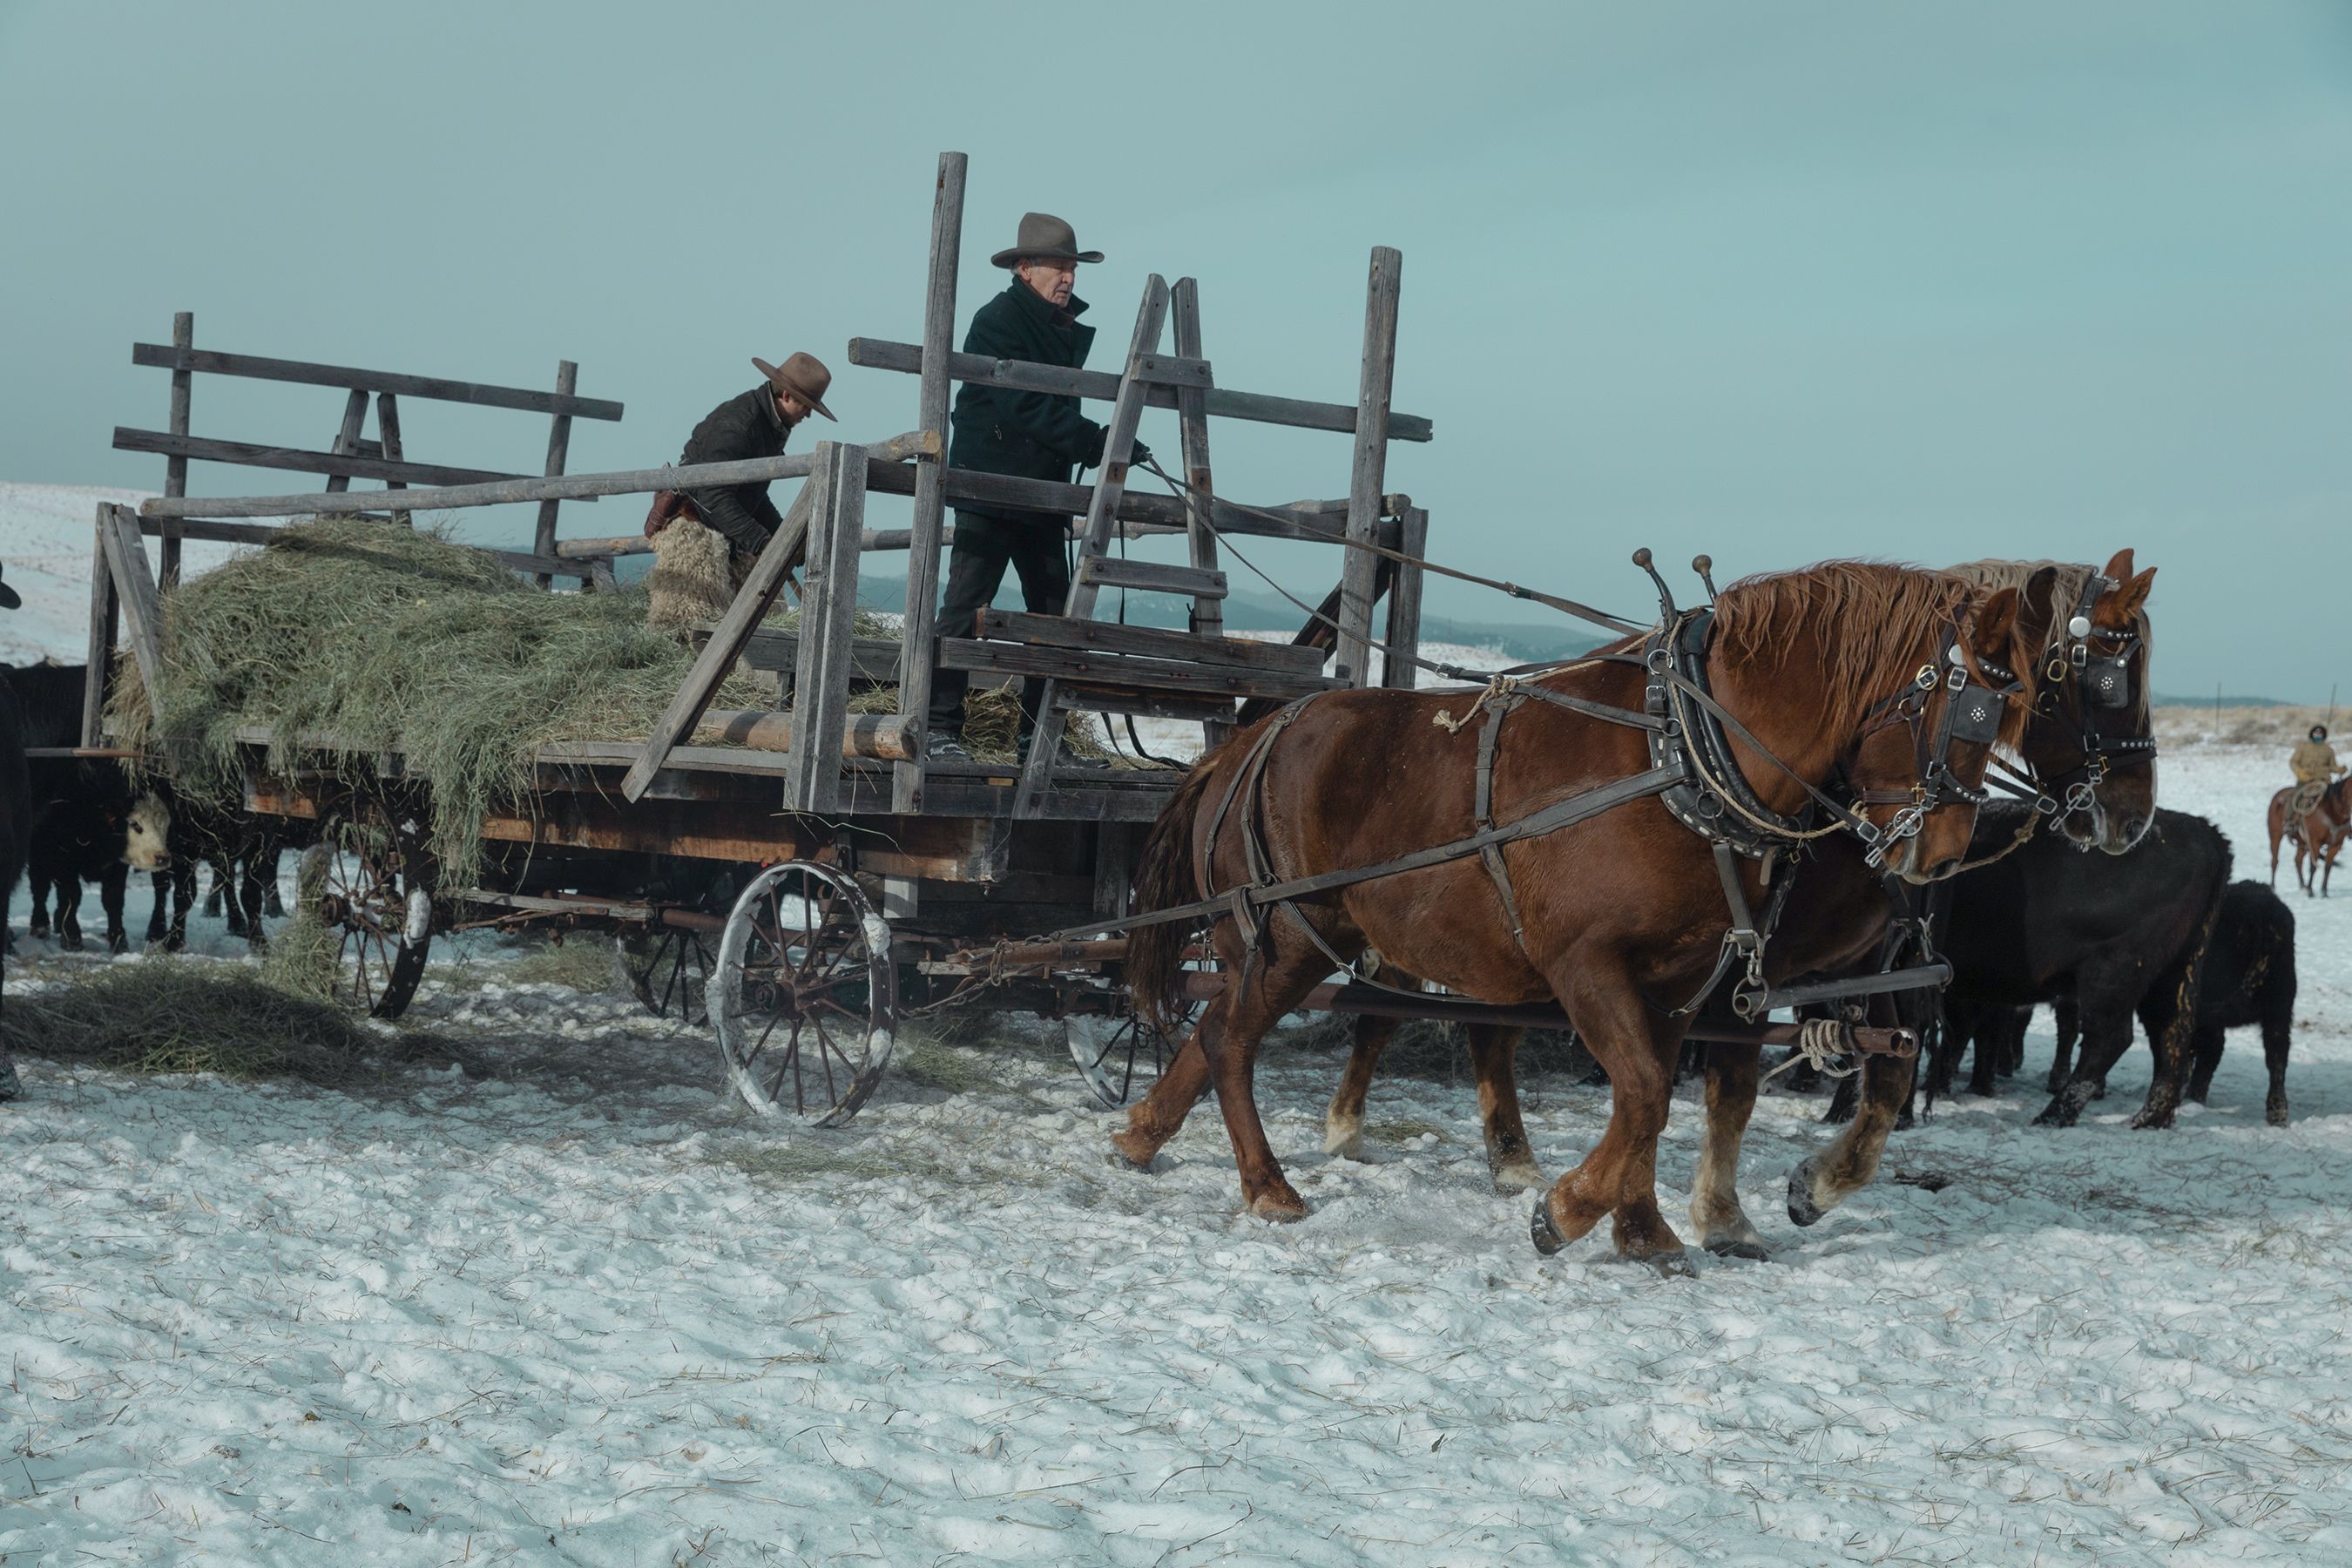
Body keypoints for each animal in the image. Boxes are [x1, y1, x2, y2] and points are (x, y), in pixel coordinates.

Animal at [1114, 564, 2041, 1279]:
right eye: (1965, 713)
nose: (1943, 857)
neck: (1682, 760)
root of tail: (1246, 742)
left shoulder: (1678, 981)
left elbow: (1652, 1098)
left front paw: (1643, 1231)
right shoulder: (1588, 964)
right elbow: (1646, 1094)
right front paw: (1567, 1213)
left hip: (1299, 941)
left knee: (1213, 1033)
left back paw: (1142, 1136)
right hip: (1285, 937)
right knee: (1233, 1041)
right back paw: (1267, 1185)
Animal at [1919, 808, 2229, 1128]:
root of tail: (2206, 832)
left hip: (2112, 972)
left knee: (2109, 1039)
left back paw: (2054, 1115)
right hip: (2174, 973)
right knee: (2170, 1035)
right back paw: (2148, 1118)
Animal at [2267, 771, 2342, 893]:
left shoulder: (2336, 844)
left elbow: (2327, 866)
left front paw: (2322, 890)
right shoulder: (2315, 843)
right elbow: (2313, 866)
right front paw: (2311, 890)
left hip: (2301, 842)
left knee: (2298, 860)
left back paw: (2302, 885)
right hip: (2275, 836)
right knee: (2275, 860)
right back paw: (2273, 886)